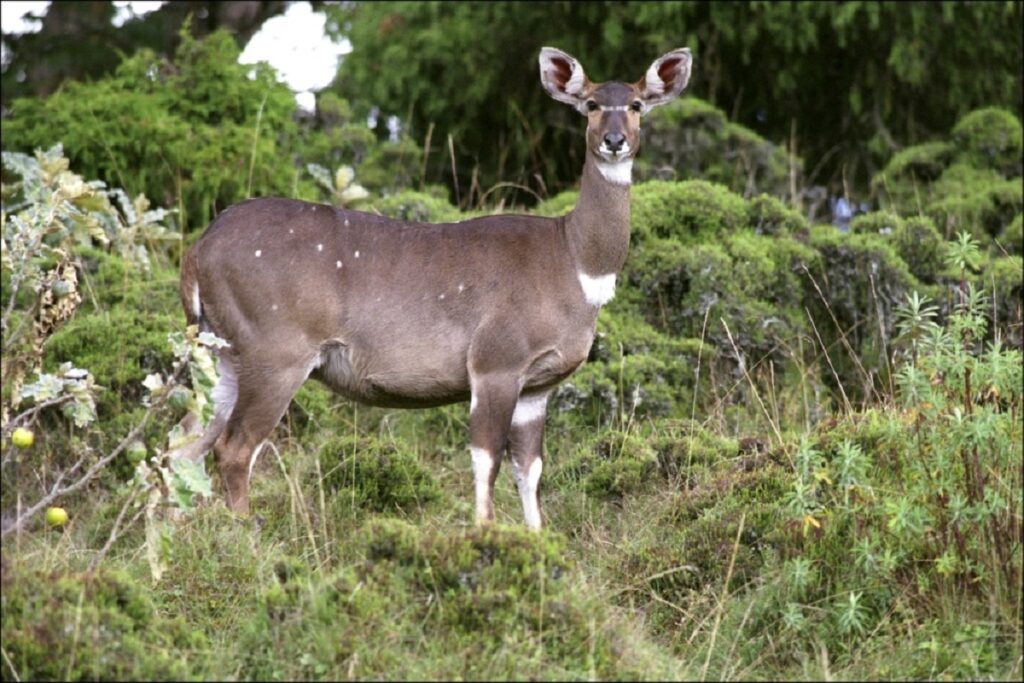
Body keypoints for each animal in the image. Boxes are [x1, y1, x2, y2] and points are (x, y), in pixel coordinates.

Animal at [172, 46, 692, 528]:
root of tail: (197, 253)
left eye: (637, 104)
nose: (614, 140)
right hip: (276, 351)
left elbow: (530, 469)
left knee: (184, 445)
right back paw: (246, 535)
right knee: (233, 449)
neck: (574, 262)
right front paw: (487, 535)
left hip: (223, 354)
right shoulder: (495, 362)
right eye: (590, 104)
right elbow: (486, 459)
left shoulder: (538, 387)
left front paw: (538, 540)